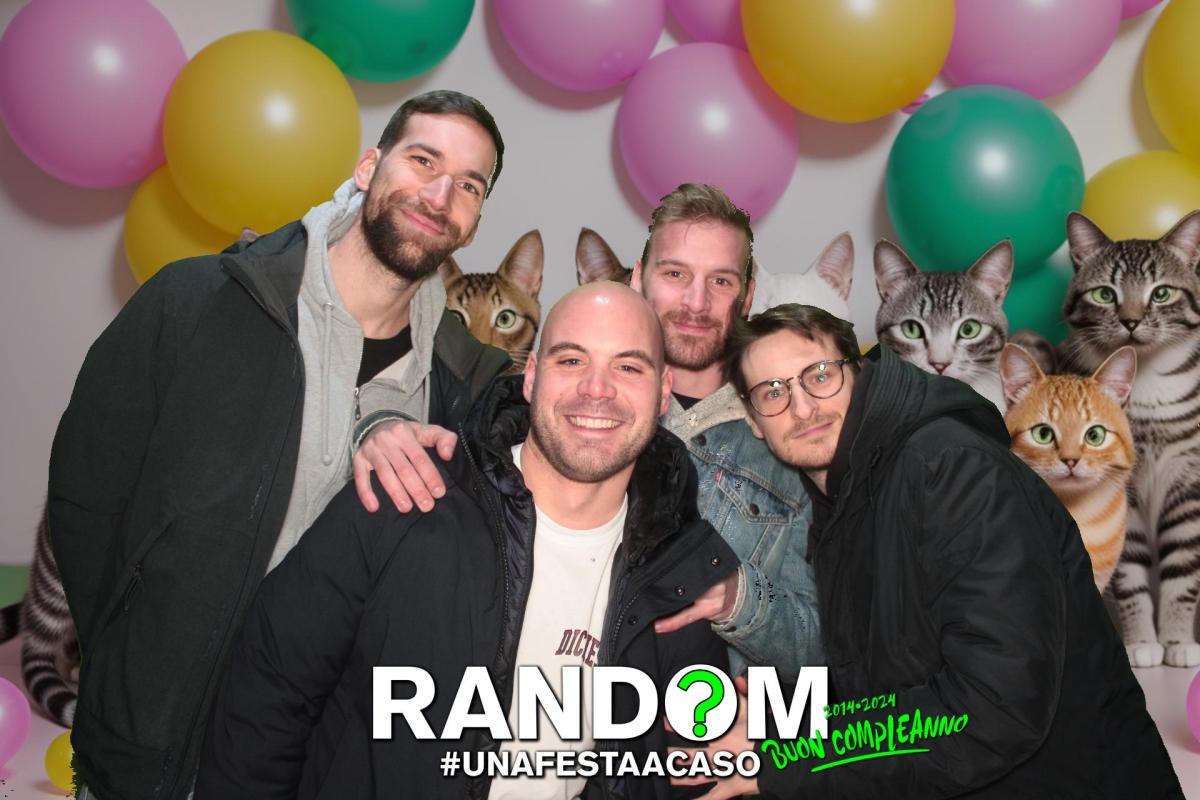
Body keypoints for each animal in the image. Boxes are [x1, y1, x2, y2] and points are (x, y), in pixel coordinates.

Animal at [1058, 210, 1200, 668]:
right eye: (1105, 294)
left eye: (1161, 293)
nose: (1132, 320)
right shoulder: (1119, 492)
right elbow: (1130, 571)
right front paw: (1140, 642)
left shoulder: (1189, 484)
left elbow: (1182, 569)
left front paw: (1177, 641)